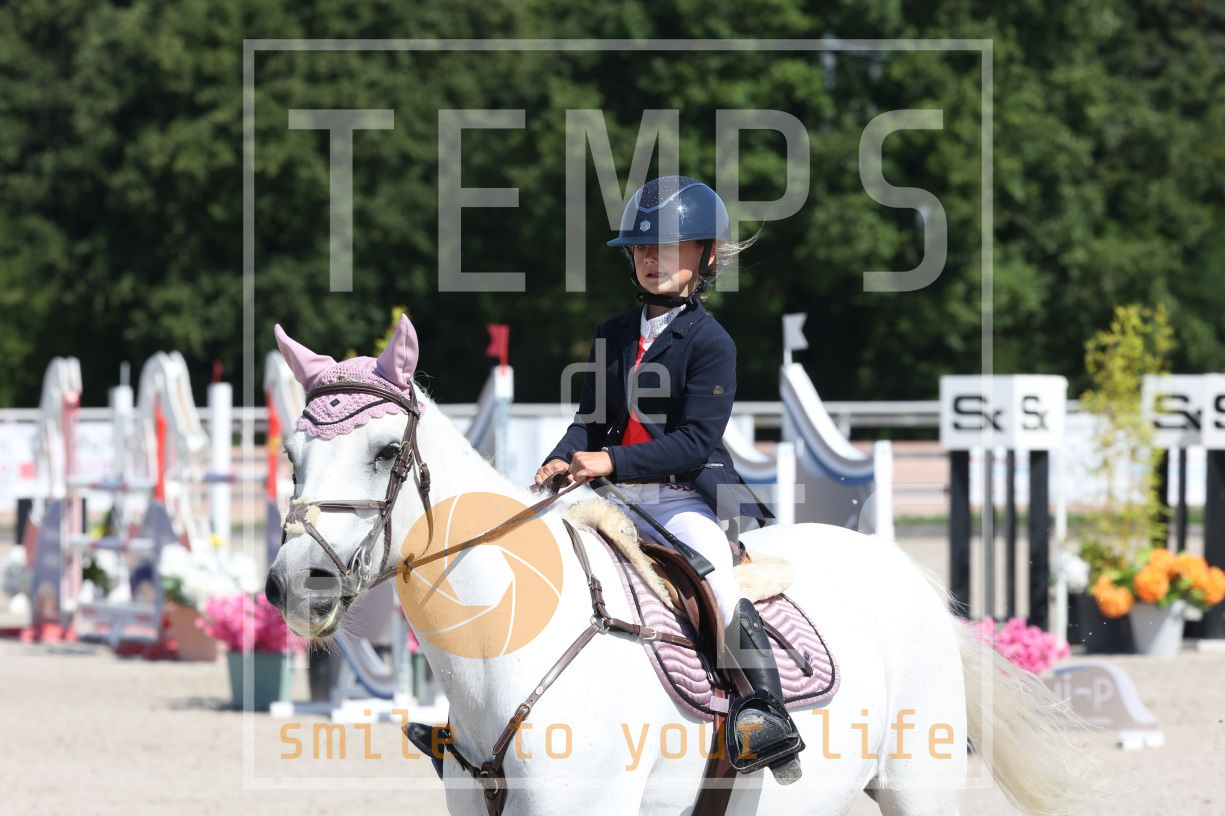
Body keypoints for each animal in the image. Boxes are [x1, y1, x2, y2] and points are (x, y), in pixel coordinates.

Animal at [264, 316, 1095, 816]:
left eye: (383, 453)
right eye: (292, 454)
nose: (295, 583)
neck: (498, 656)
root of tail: (897, 571)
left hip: (918, 784)